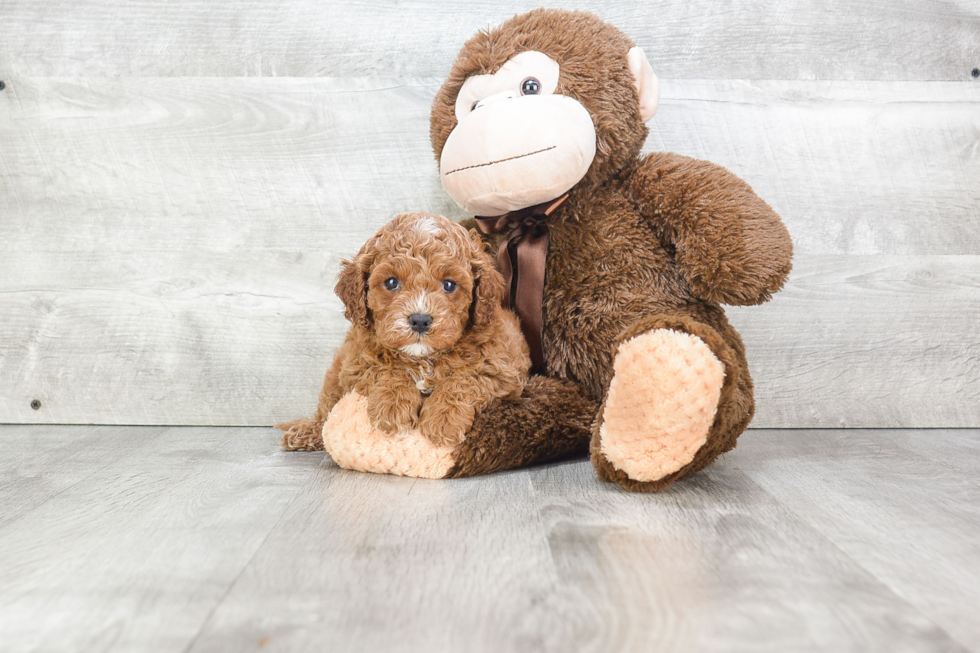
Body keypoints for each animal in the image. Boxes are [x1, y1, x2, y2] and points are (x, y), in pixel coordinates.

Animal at [280, 213, 528, 448]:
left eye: (449, 285)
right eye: (391, 282)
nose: (420, 320)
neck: (424, 358)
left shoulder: (502, 368)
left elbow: (466, 379)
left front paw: (444, 419)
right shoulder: (356, 362)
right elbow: (386, 370)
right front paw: (393, 407)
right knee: (326, 410)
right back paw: (307, 431)